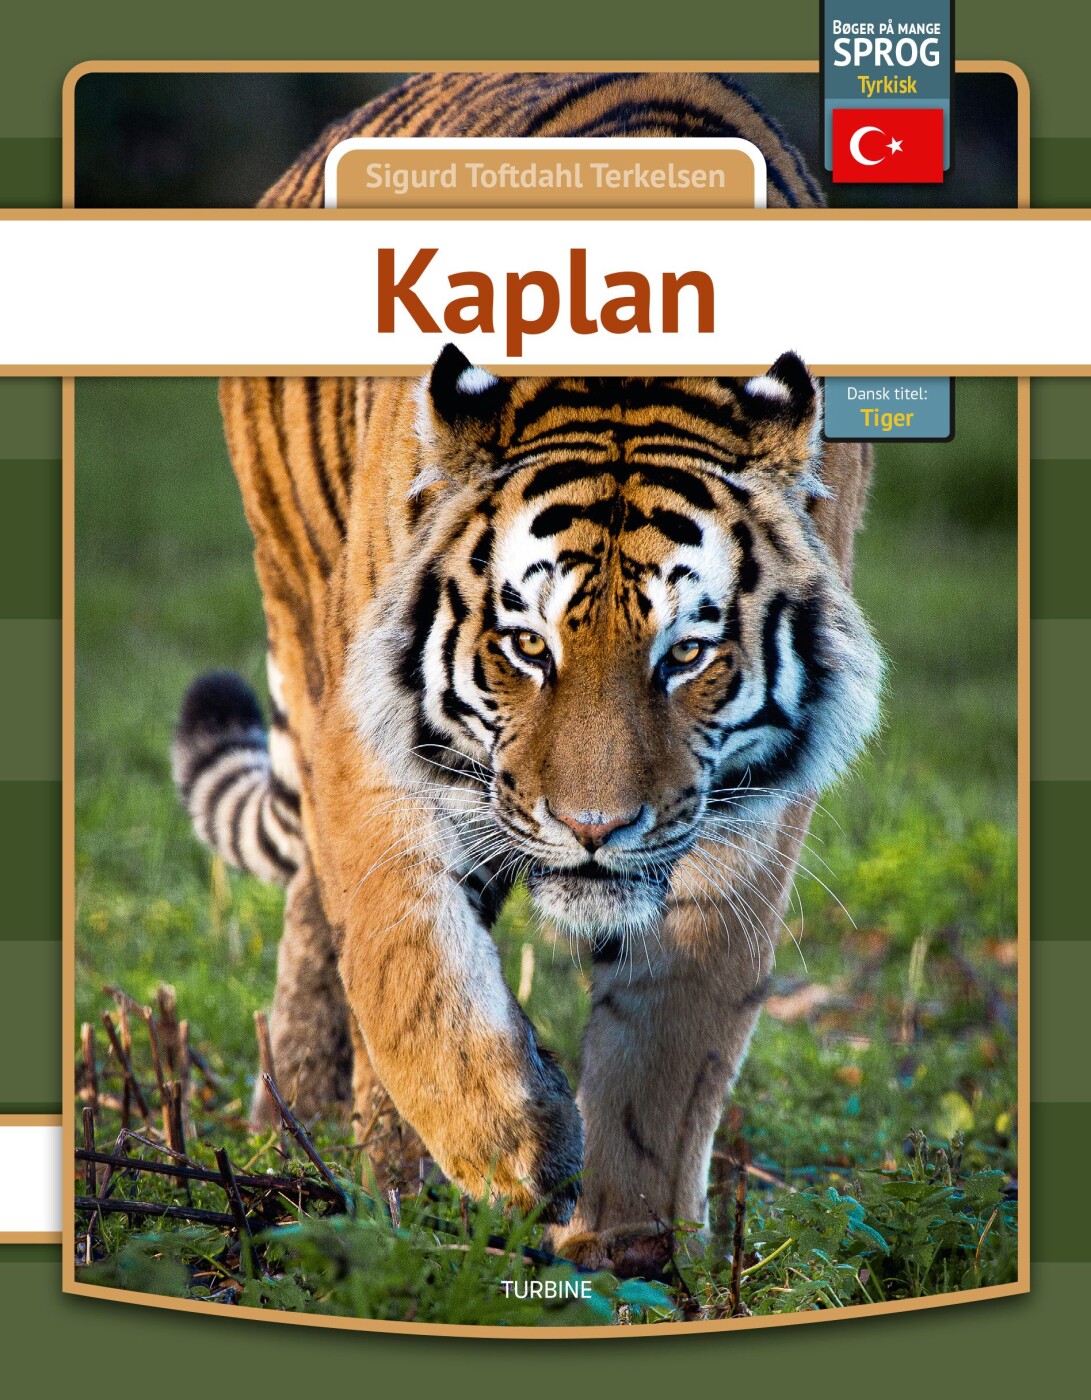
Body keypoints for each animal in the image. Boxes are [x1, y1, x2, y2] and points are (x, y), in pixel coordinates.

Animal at [170, 71, 881, 1276]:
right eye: (527, 645)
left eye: (685, 653)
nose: (592, 829)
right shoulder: (377, 753)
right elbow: (409, 968)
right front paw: (515, 1149)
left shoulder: (744, 814)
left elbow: (672, 1034)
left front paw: (629, 1246)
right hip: (304, 623)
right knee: (331, 920)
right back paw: (346, 1156)